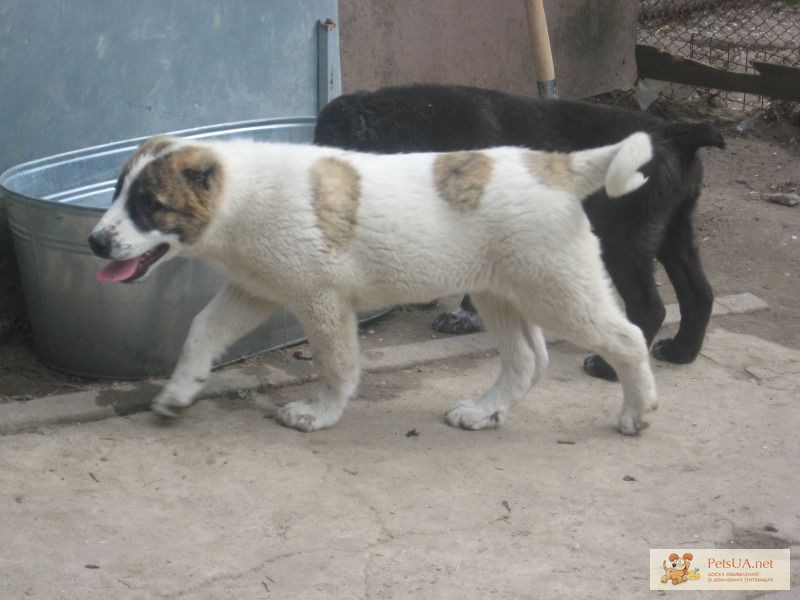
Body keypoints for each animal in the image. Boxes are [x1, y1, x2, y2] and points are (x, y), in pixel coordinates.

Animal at [90, 134, 660, 434]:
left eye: (150, 205)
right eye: (117, 194)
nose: (95, 241)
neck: (240, 195)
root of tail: (554, 166)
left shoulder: (322, 300)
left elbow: (336, 363)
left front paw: (320, 412)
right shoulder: (254, 289)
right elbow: (202, 331)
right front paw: (179, 392)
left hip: (557, 288)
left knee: (627, 338)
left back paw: (637, 412)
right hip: (501, 292)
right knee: (527, 360)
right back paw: (483, 410)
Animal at [314, 84, 724, 380]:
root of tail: (678, 133)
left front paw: (464, 315)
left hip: (623, 238)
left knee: (650, 306)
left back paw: (608, 369)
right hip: (673, 232)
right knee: (699, 293)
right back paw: (681, 352)